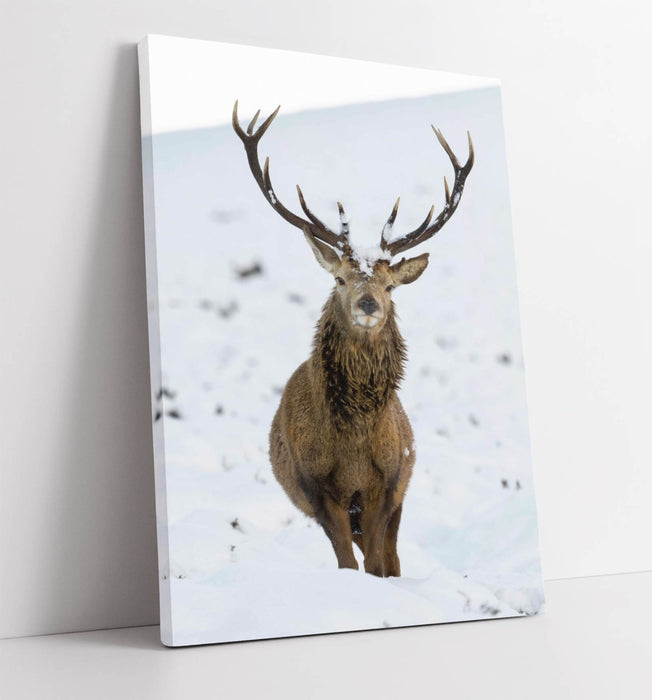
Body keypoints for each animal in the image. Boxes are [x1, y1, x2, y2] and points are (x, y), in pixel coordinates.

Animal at [232, 101, 474, 577]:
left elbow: (379, 561)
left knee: (393, 555)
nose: (368, 304)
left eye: (390, 285)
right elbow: (347, 561)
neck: (355, 447)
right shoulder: (317, 488)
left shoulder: (388, 482)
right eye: (340, 279)